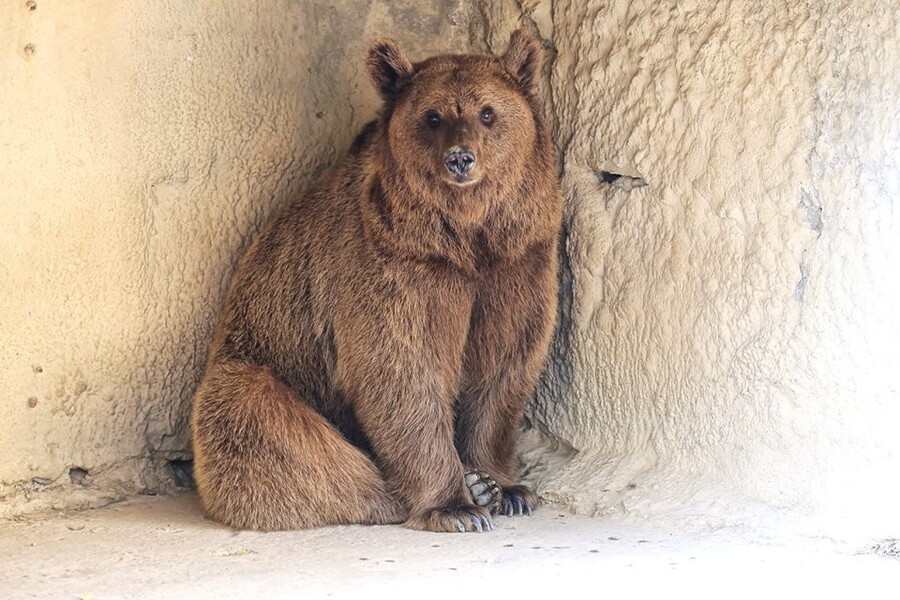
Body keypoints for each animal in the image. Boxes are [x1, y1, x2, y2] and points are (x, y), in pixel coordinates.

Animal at [192, 30, 560, 532]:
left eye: (488, 112)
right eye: (433, 116)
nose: (460, 159)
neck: (465, 238)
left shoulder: (517, 262)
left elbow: (505, 363)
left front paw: (505, 486)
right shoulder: (391, 264)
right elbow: (399, 370)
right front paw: (457, 505)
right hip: (261, 362)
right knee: (261, 421)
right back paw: (393, 496)